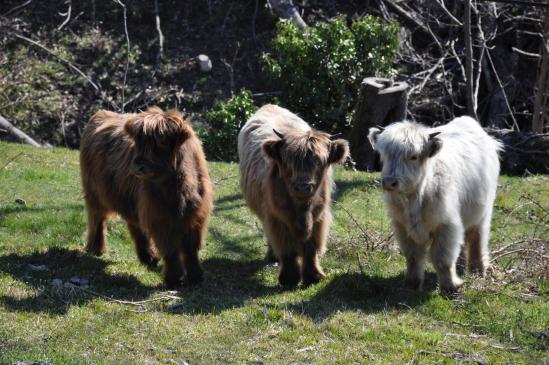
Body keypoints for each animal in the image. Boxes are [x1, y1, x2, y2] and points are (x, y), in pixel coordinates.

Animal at [79, 106, 212, 288]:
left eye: (161, 142)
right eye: (138, 142)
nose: (137, 167)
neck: (177, 188)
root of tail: (100, 114)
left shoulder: (196, 215)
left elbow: (191, 249)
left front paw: (196, 277)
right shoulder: (159, 216)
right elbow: (170, 249)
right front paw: (174, 279)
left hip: (130, 200)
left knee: (135, 226)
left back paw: (148, 258)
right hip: (94, 193)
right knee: (97, 219)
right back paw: (95, 249)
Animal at [237, 104, 346, 286]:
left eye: (319, 161)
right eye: (289, 161)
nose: (302, 187)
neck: (302, 210)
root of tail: (269, 105)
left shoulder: (319, 217)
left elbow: (311, 249)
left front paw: (314, 276)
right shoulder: (276, 218)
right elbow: (287, 249)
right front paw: (289, 278)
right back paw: (272, 257)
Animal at [368, 116, 500, 292]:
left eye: (414, 156)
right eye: (385, 155)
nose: (390, 182)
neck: (415, 200)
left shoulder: (446, 225)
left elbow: (442, 259)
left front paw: (450, 286)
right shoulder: (402, 227)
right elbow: (413, 257)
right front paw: (412, 284)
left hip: (483, 212)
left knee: (476, 238)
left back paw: (478, 270)